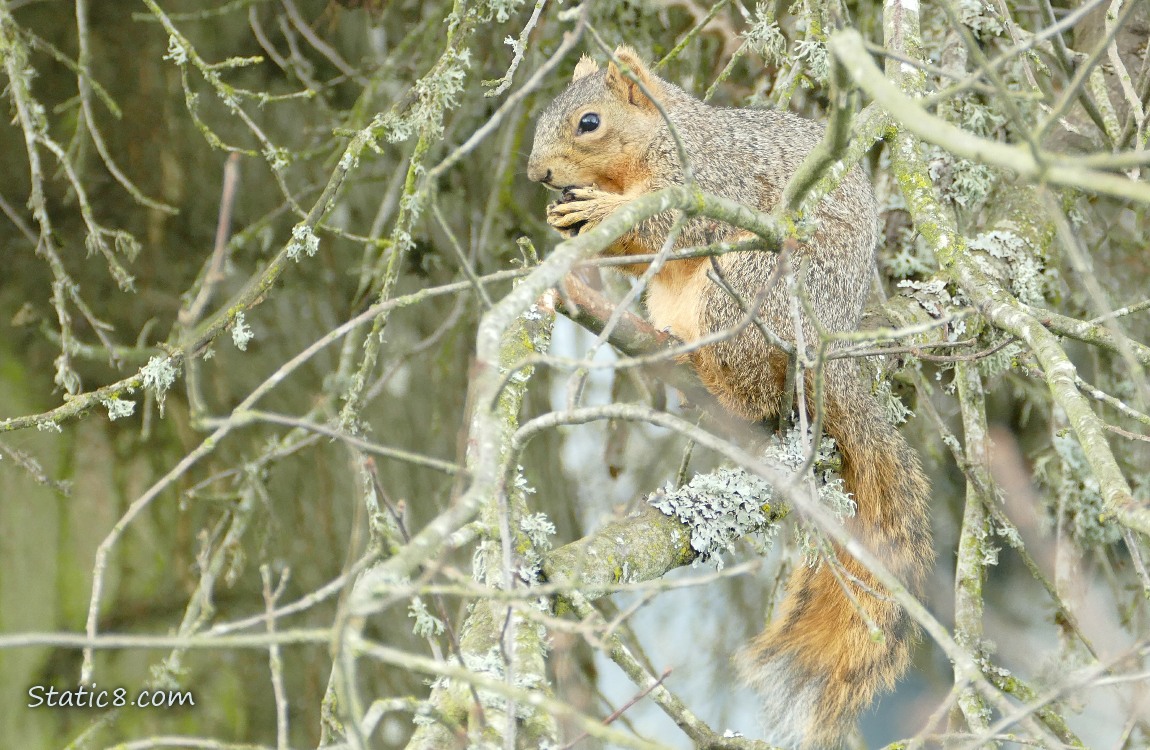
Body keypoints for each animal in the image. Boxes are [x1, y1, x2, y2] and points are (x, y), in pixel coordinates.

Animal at [527, 46, 934, 749]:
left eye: (588, 122)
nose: (537, 173)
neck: (658, 144)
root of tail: (827, 352)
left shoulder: (715, 181)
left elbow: (680, 224)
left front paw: (598, 212)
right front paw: (572, 219)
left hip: (745, 287)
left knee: (752, 391)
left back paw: (701, 371)